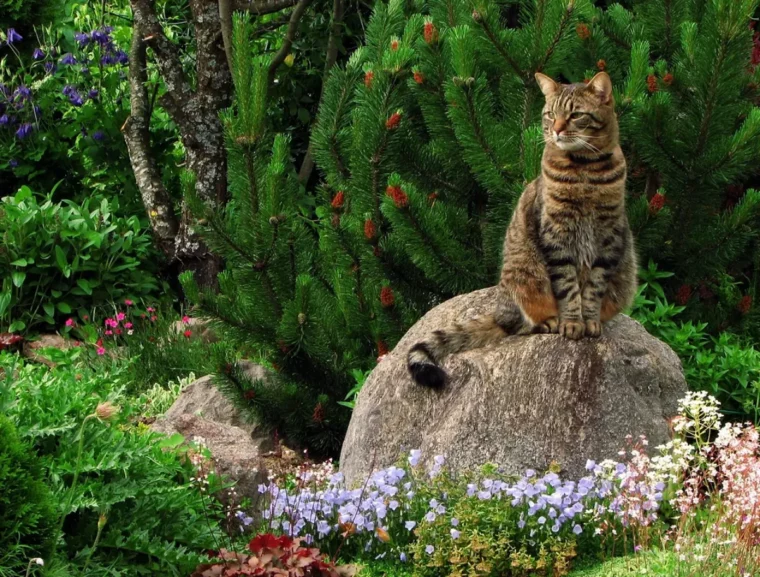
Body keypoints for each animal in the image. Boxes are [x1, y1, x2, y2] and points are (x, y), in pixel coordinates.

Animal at [406, 71, 640, 388]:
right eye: (551, 114)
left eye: (576, 115)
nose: (556, 130)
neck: (585, 170)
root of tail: (500, 312)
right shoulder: (555, 236)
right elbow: (568, 287)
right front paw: (571, 322)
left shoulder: (609, 237)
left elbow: (593, 287)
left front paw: (589, 320)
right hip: (525, 278)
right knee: (522, 324)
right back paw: (549, 321)